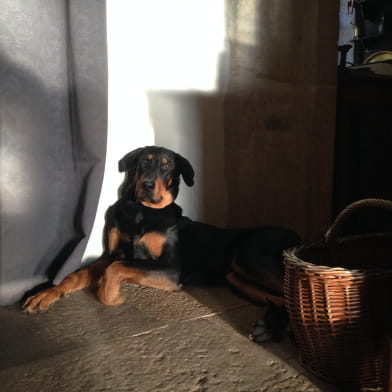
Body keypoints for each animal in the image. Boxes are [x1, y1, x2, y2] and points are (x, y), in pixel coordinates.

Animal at [23, 147, 300, 340]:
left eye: (168, 167)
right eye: (144, 161)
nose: (147, 185)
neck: (142, 210)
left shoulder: (171, 268)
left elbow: (116, 269)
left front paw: (110, 296)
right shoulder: (111, 254)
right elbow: (78, 274)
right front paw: (45, 294)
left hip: (248, 257)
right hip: (235, 277)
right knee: (284, 298)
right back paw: (271, 327)